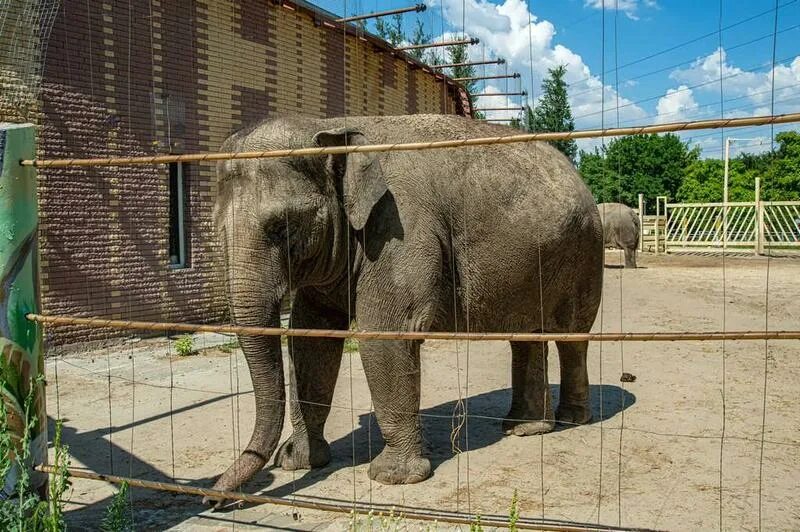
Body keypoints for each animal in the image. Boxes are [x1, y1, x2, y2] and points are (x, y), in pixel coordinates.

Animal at [209, 113, 604, 502]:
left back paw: (571, 419)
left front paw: (393, 477)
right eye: (215, 227)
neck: (333, 125)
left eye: (282, 227)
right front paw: (300, 461)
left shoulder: (400, 229)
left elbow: (384, 334)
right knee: (526, 335)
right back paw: (526, 428)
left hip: (584, 254)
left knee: (571, 335)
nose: (213, 497)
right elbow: (311, 338)